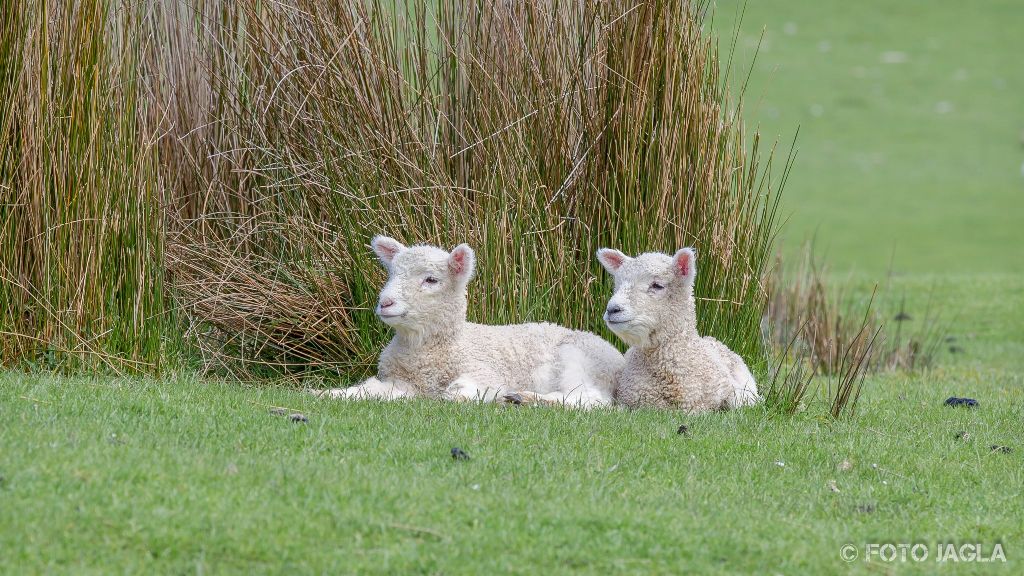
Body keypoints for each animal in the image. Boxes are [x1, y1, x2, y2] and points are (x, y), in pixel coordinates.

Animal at [319, 233, 622, 403]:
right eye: (392, 274)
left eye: (431, 280)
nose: (385, 303)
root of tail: (618, 356)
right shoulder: (403, 382)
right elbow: (368, 389)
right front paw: (327, 395)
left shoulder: (485, 372)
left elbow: (459, 393)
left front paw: (468, 396)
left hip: (580, 360)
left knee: (590, 400)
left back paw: (526, 398)